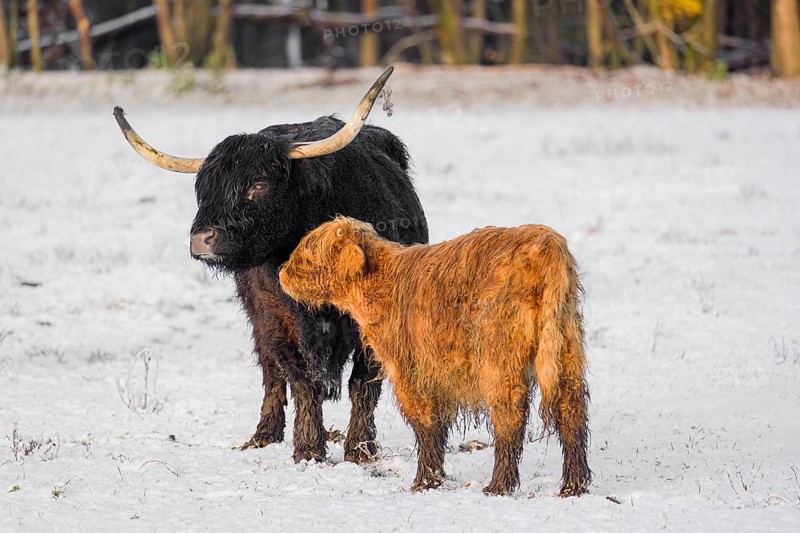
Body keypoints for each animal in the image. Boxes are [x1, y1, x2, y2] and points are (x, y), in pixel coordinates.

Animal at [113, 68, 429, 463]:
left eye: (259, 185)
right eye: (202, 188)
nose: (201, 239)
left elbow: (363, 381)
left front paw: (360, 449)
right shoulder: (277, 317)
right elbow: (301, 379)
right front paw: (308, 449)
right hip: (258, 315)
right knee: (271, 372)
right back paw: (264, 435)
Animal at [278, 217, 591, 496]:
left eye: (306, 255)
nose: (282, 273)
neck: (378, 286)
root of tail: (546, 244)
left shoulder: (412, 371)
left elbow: (425, 424)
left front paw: (425, 483)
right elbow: (437, 427)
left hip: (499, 359)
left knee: (510, 418)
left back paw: (499, 486)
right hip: (566, 350)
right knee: (571, 411)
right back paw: (573, 486)